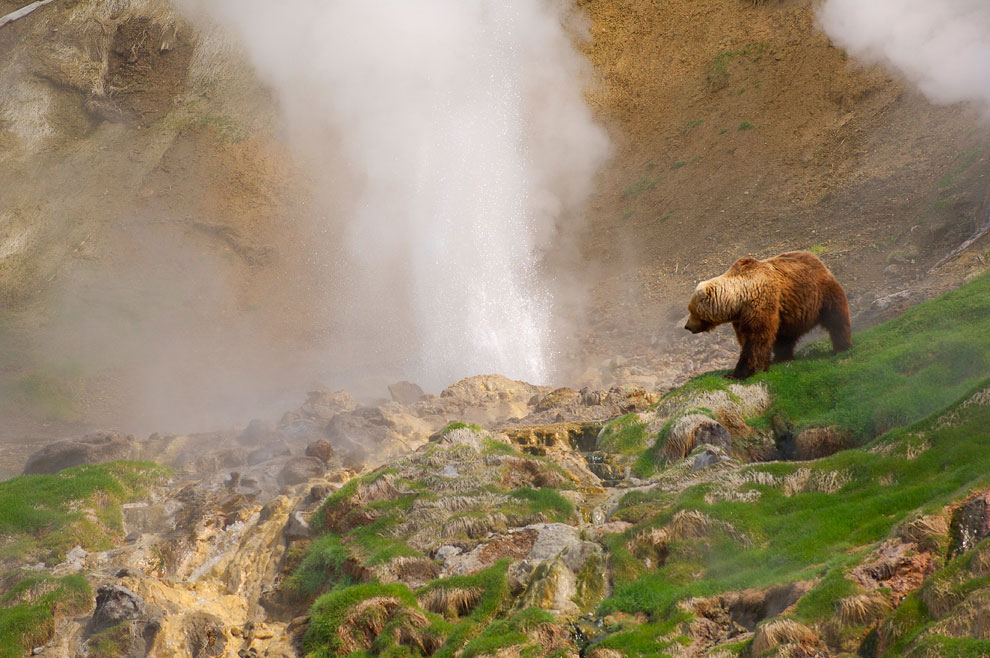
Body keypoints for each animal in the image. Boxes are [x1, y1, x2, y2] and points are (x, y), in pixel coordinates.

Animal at [684, 251, 852, 379]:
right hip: (790, 311)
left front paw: (738, 373)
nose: (687, 326)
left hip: (822, 294)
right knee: (785, 337)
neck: (738, 300)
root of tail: (817, 259)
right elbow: (748, 338)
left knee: (837, 320)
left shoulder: (760, 304)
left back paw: (842, 347)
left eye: (691, 310)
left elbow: (757, 338)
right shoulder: (741, 318)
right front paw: (762, 366)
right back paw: (782, 357)